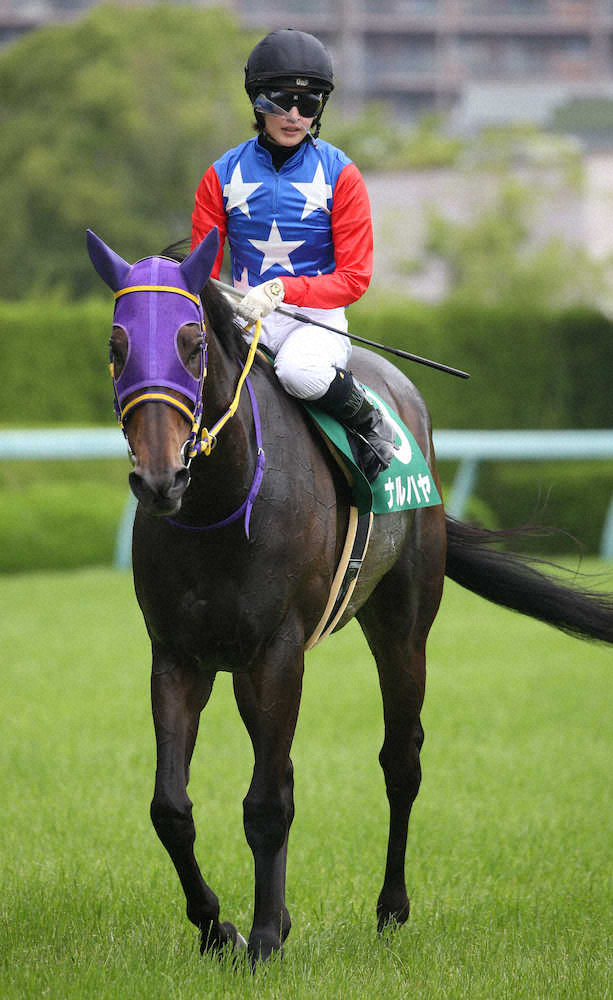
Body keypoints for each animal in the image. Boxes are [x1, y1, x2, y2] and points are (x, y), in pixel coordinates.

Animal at [87, 227, 613, 963]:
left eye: (192, 343)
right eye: (117, 347)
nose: (160, 480)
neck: (220, 504)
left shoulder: (277, 651)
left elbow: (265, 804)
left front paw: (262, 940)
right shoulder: (178, 655)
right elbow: (172, 807)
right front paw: (221, 928)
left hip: (402, 624)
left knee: (401, 761)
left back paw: (390, 910)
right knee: (283, 772)